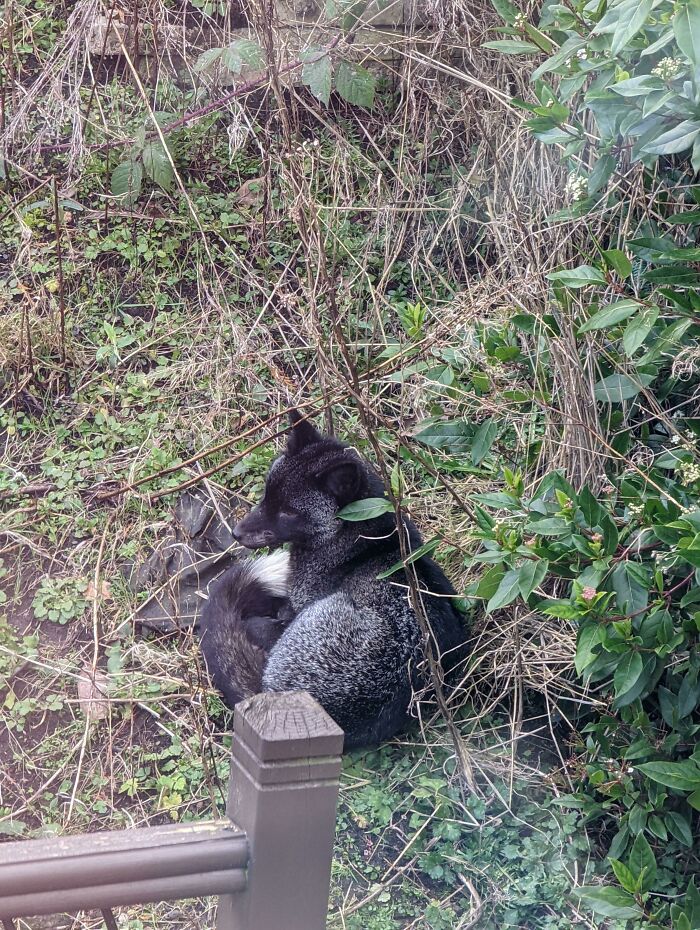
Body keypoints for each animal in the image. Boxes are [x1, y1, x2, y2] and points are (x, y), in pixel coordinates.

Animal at [199, 410, 466, 749]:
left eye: (288, 513)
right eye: (267, 494)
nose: (236, 533)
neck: (360, 542)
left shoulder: (300, 605)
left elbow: (275, 620)